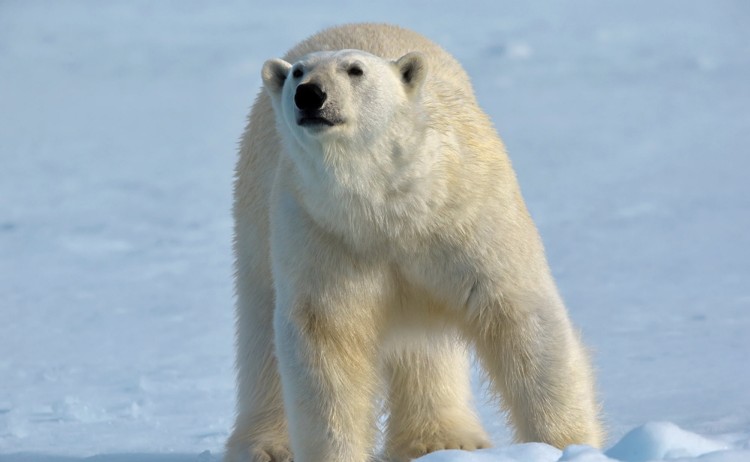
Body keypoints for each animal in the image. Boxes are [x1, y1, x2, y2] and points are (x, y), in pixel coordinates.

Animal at [226, 23, 603, 462]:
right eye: (299, 73)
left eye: (355, 70)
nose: (310, 94)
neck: (389, 207)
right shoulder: (321, 232)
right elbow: (325, 339)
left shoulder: (466, 217)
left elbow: (520, 316)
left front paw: (568, 445)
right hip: (255, 221)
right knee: (260, 331)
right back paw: (264, 447)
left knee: (425, 345)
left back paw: (442, 439)